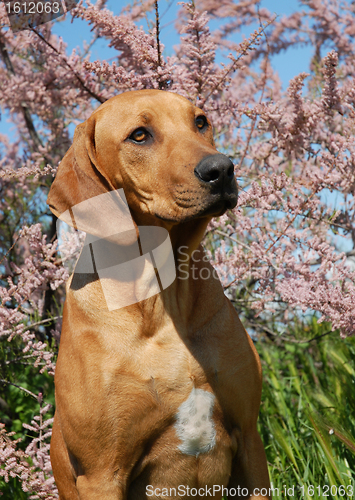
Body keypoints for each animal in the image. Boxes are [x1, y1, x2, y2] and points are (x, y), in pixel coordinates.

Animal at [46, 91, 270, 500]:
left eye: (200, 121)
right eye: (139, 135)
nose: (222, 168)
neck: (163, 301)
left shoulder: (249, 439)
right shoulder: (101, 473)